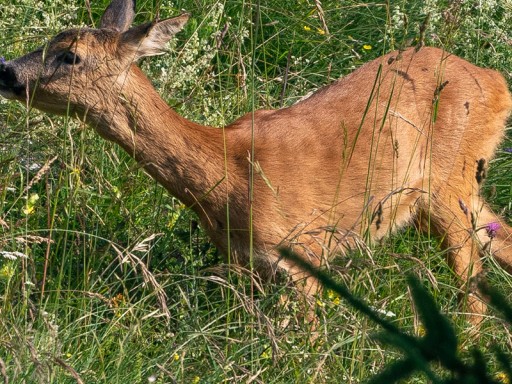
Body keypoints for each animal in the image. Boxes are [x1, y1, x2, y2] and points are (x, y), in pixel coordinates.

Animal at [1, 0, 512, 326]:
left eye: (70, 56)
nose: (6, 70)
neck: (226, 175)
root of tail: (496, 80)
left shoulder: (304, 252)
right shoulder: (248, 267)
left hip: (449, 182)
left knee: (472, 280)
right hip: (448, 192)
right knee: (497, 235)